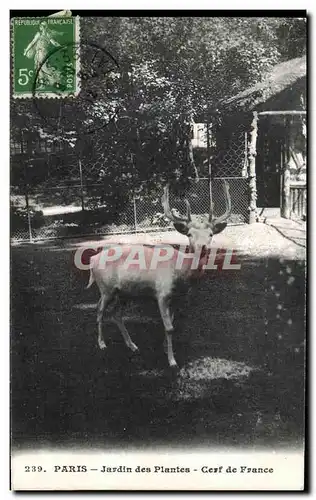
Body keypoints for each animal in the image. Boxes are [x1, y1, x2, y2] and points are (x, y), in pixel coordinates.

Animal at [87, 180, 232, 368]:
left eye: (211, 234)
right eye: (189, 234)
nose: (202, 248)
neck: (181, 273)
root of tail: (92, 260)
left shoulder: (178, 298)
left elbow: (172, 323)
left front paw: (165, 348)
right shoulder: (161, 294)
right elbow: (169, 327)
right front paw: (172, 360)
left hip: (123, 292)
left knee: (116, 314)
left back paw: (132, 345)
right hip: (106, 287)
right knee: (99, 310)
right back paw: (102, 343)